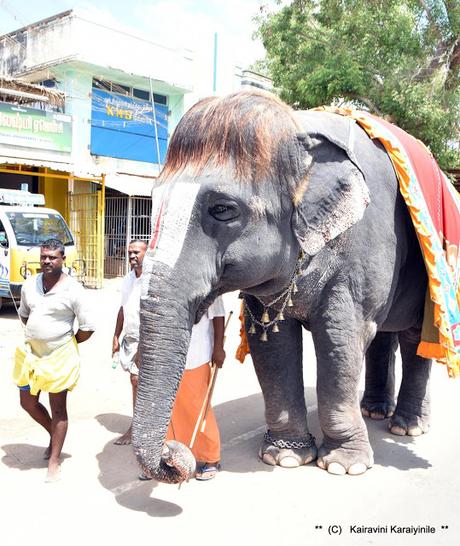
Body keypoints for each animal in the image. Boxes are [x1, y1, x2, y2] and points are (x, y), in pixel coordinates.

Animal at [132, 88, 432, 480]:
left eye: (223, 209)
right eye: (152, 202)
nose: (174, 454)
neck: (297, 125)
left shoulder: (363, 246)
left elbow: (340, 338)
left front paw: (343, 465)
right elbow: (272, 344)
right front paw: (285, 456)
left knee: (414, 338)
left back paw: (408, 426)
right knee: (384, 336)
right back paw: (376, 411)